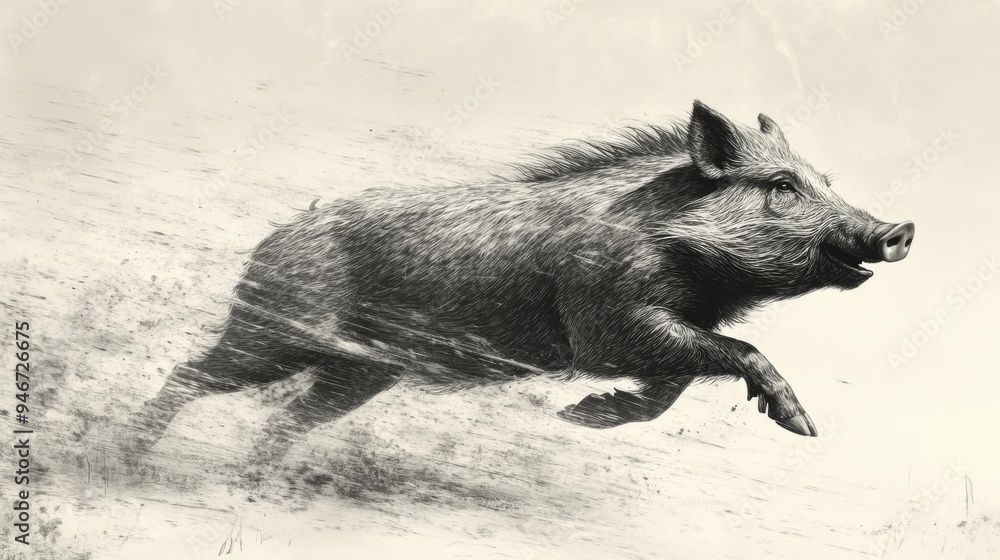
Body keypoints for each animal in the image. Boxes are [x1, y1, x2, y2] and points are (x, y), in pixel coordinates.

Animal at [130, 100, 914, 459]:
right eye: (782, 186)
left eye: (825, 181)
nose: (898, 229)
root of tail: (279, 233)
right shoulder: (606, 326)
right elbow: (736, 354)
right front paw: (804, 428)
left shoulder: (665, 331)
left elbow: (679, 382)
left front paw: (583, 418)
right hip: (275, 334)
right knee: (190, 374)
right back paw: (130, 457)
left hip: (359, 373)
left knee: (286, 419)